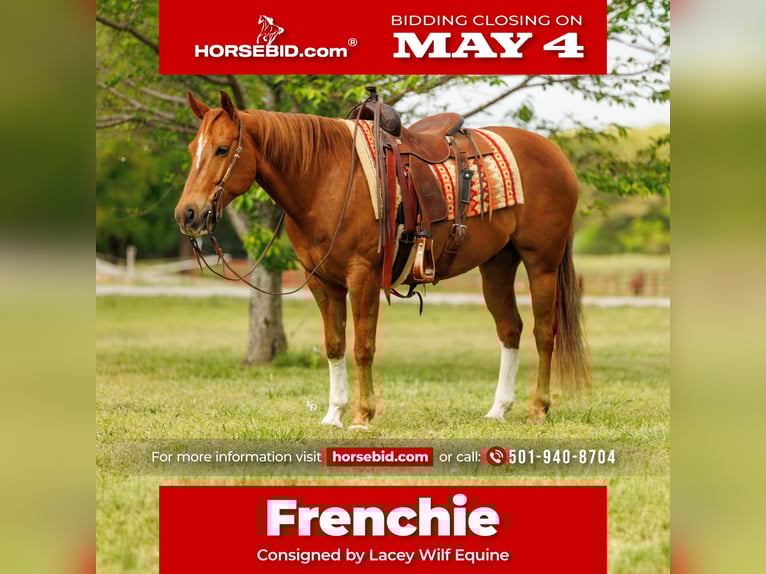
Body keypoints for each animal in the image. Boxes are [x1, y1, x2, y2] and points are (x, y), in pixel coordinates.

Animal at [174, 90, 589, 430]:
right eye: (193, 149)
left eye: (222, 149)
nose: (188, 214)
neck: (325, 177)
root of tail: (555, 153)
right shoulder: (321, 281)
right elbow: (335, 345)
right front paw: (334, 414)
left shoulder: (363, 276)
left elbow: (363, 346)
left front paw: (362, 415)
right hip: (497, 264)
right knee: (510, 330)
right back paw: (498, 409)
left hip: (541, 263)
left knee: (543, 331)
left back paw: (538, 408)